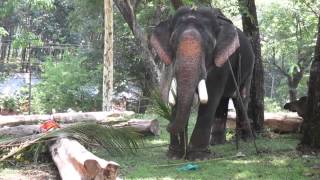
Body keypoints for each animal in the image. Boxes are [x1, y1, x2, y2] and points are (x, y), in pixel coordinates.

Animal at [150, 6, 255, 160]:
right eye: (173, 41)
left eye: (209, 45)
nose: (167, 125)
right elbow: (177, 98)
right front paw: (175, 155)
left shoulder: (222, 62)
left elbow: (210, 99)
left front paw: (198, 156)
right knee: (222, 102)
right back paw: (217, 143)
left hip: (249, 68)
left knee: (240, 100)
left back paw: (246, 139)